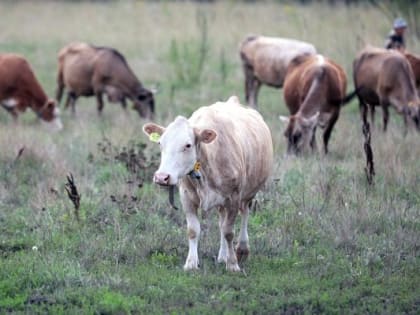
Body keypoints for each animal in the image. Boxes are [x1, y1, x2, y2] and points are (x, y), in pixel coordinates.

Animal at [143, 95, 274, 272]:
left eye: (188, 145)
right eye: (160, 144)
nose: (162, 177)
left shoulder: (233, 197)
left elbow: (229, 232)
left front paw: (233, 264)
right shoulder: (187, 196)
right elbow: (194, 230)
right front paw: (191, 263)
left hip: (248, 193)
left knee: (244, 214)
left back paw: (242, 250)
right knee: (221, 221)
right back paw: (222, 256)